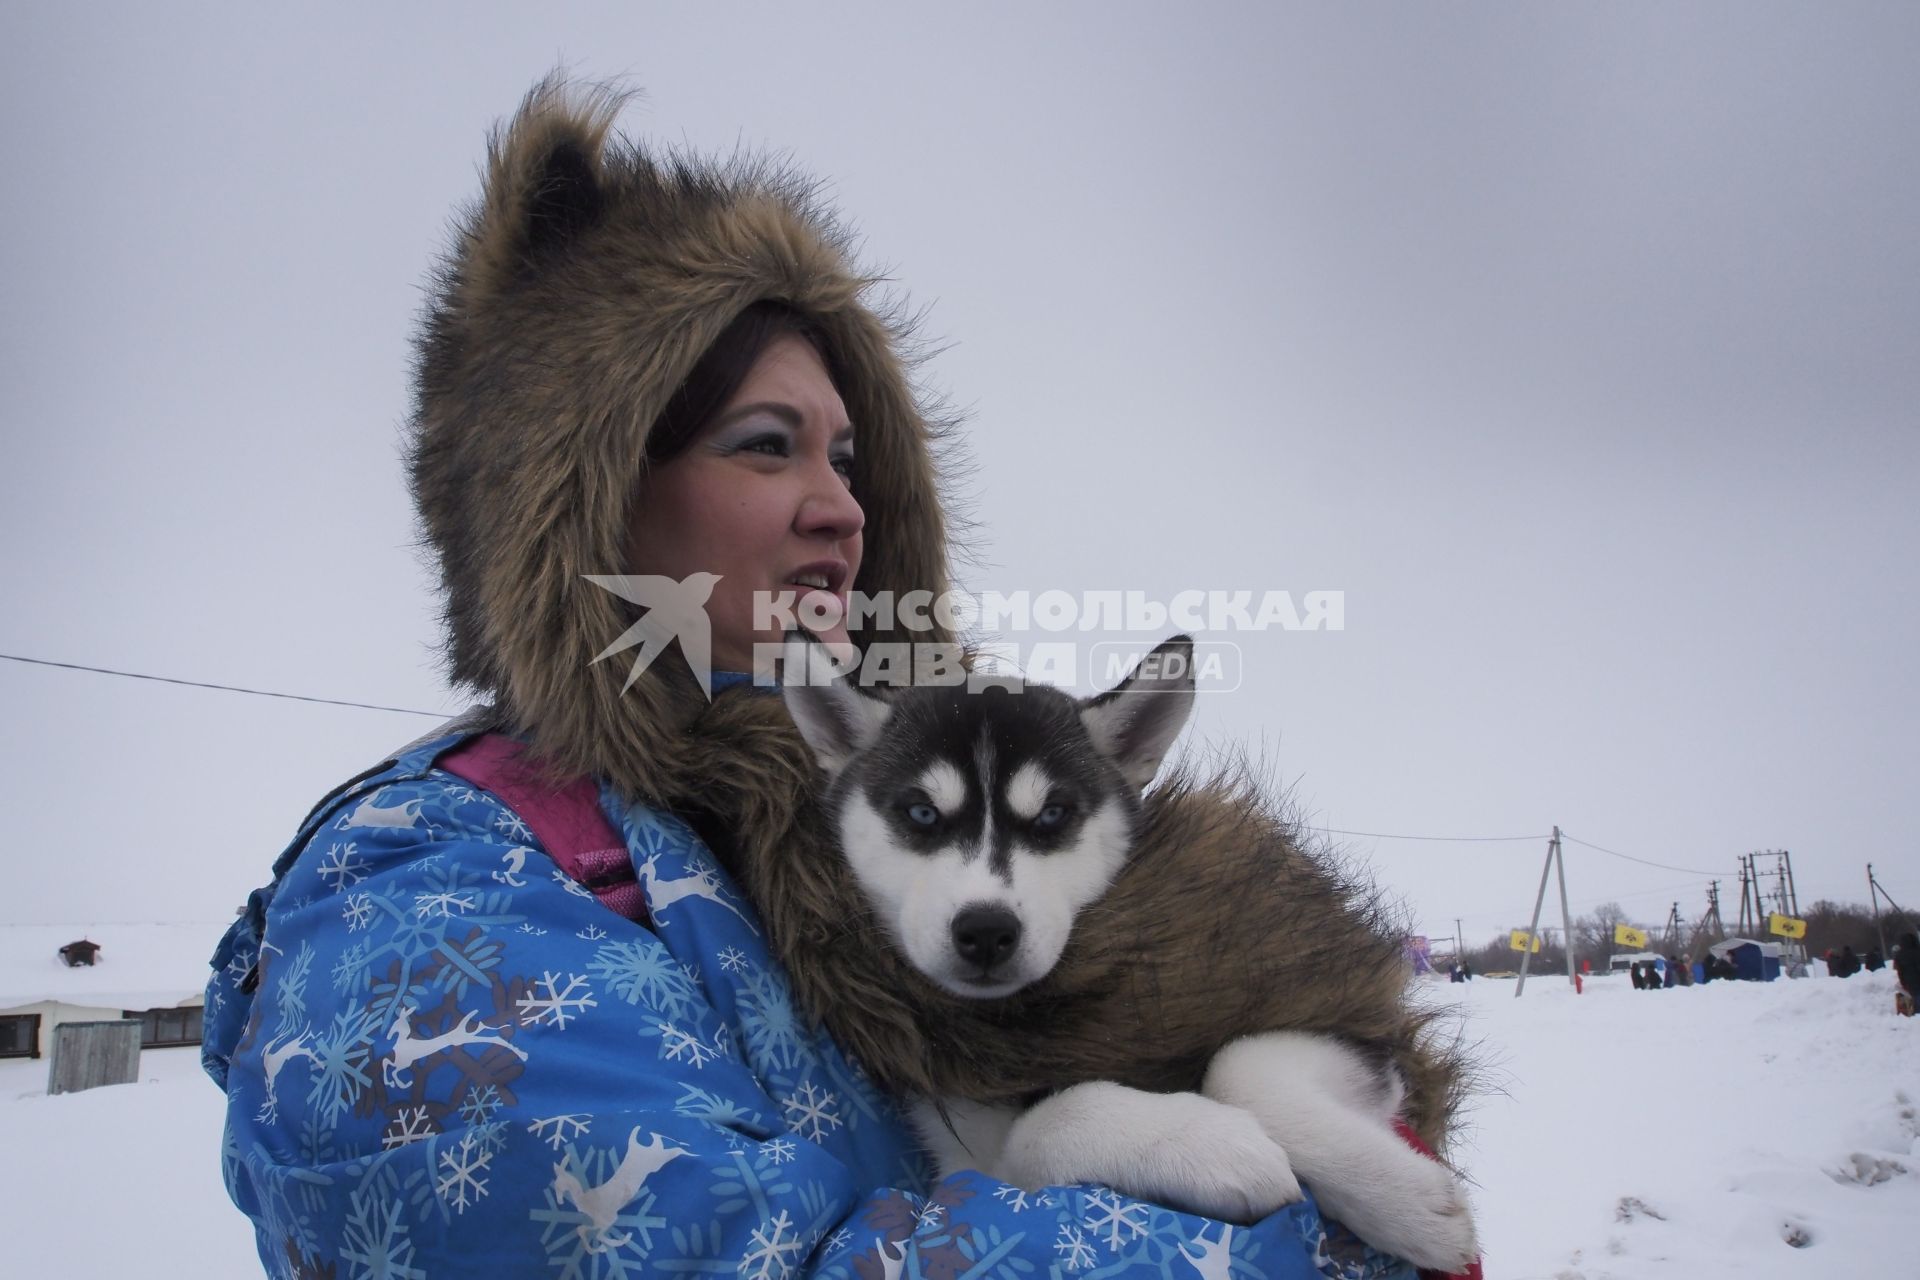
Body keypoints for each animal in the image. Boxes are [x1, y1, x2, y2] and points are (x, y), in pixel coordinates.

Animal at [779, 640, 1482, 1274]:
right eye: (922, 813)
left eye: (1054, 814)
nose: (985, 931)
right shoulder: (966, 1166)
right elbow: (1039, 1132)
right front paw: (1214, 1145)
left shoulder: (1350, 1017)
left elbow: (1238, 1064)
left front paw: (1408, 1205)